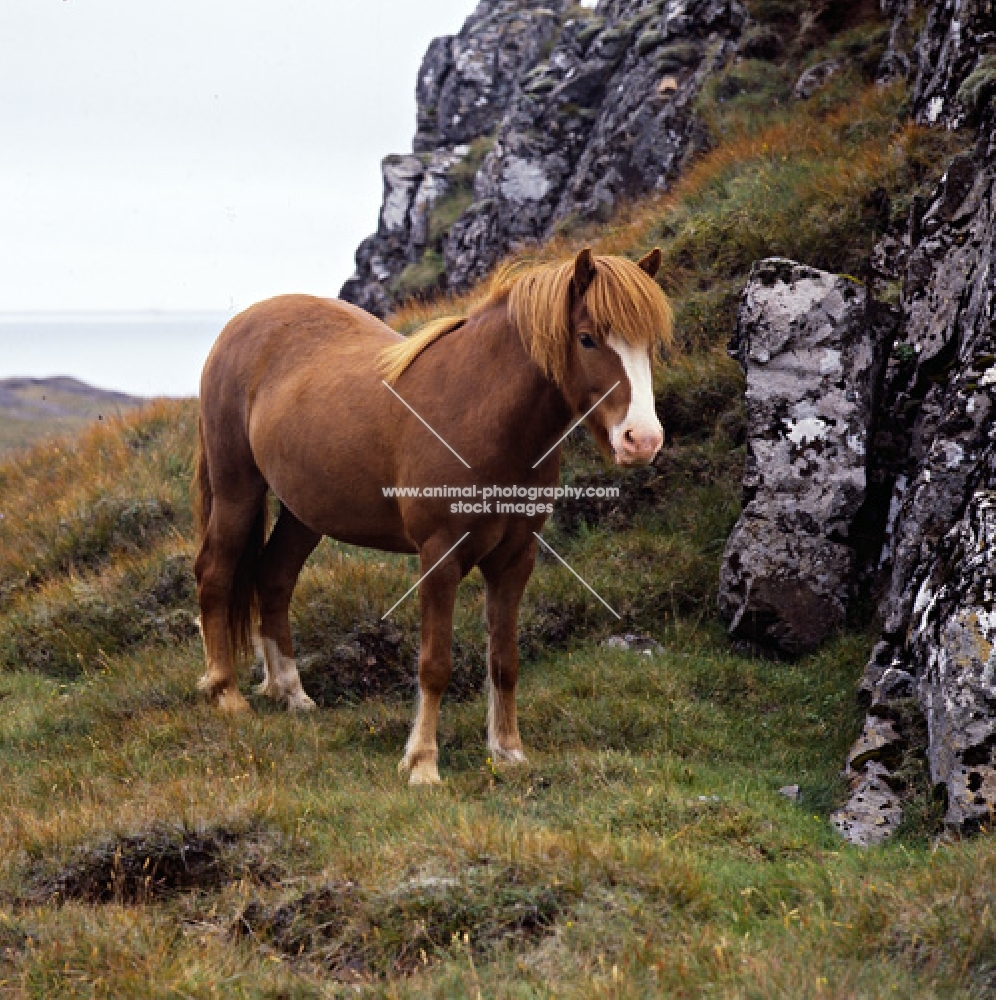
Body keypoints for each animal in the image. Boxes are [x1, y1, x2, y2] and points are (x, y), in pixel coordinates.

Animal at [191, 246, 672, 784]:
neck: (478, 415)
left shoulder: (515, 559)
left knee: (273, 578)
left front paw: (508, 750)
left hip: (303, 512)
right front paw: (422, 763)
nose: (642, 440)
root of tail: (240, 327)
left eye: (649, 343)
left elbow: (504, 660)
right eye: (587, 338)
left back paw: (292, 693)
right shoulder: (439, 557)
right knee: (216, 573)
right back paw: (225, 692)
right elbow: (435, 664)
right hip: (237, 489)